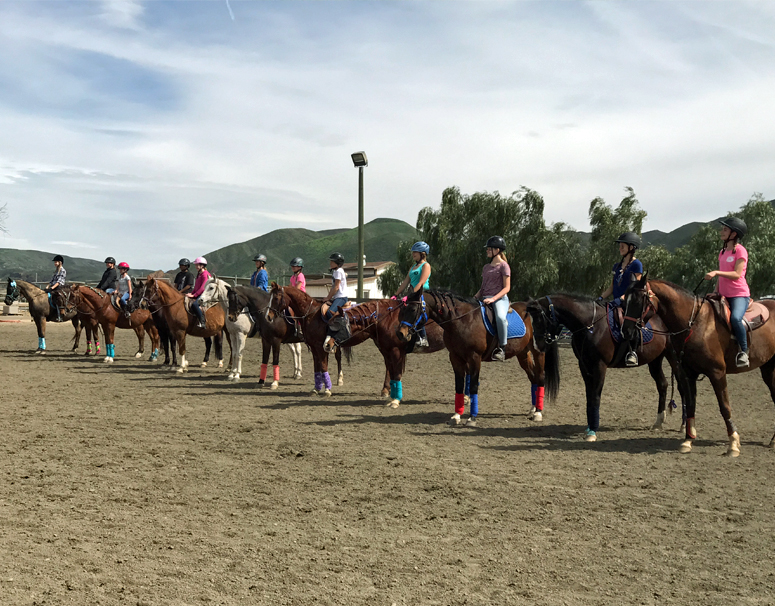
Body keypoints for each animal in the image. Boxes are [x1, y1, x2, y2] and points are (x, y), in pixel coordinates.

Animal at [394, 290, 552, 428]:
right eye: (402, 310)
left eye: (413, 309)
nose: (400, 334)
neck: (462, 321)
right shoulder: (455, 358)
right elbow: (459, 386)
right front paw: (456, 416)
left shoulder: (474, 358)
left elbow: (474, 386)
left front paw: (471, 418)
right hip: (523, 354)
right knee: (532, 377)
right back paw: (533, 408)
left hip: (538, 351)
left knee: (540, 376)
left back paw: (538, 413)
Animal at [528, 296, 684, 444]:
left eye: (540, 320)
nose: (537, 345)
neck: (590, 325)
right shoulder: (584, 366)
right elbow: (589, 397)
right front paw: (589, 427)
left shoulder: (599, 366)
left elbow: (596, 397)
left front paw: (592, 432)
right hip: (655, 360)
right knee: (662, 385)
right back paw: (658, 422)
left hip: (674, 359)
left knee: (682, 388)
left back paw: (683, 426)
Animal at [624, 276, 775, 456]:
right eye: (625, 300)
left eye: (638, 300)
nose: (626, 331)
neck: (696, 324)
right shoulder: (688, 374)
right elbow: (690, 405)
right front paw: (688, 440)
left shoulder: (717, 373)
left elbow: (724, 407)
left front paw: (733, 444)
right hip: (768, 369)